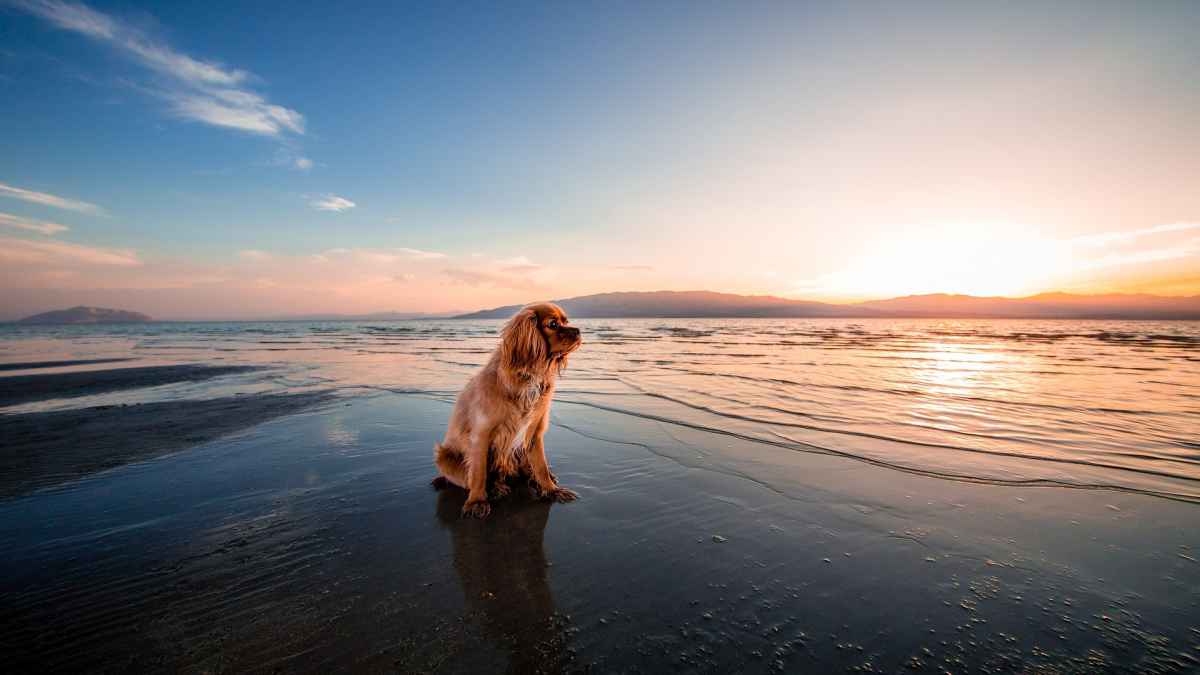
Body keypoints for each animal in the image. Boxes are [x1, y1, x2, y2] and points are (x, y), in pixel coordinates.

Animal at [432, 302, 580, 516]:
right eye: (553, 324)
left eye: (566, 322)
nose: (578, 330)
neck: (528, 375)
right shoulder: (481, 434)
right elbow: (478, 473)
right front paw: (477, 501)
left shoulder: (533, 432)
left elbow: (541, 466)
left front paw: (552, 490)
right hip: (444, 457)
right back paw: (494, 489)